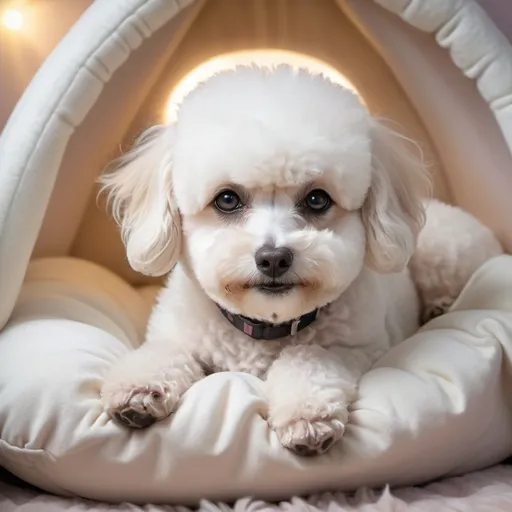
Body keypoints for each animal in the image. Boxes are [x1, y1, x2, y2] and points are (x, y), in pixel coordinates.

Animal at [99, 65, 500, 456]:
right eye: (226, 199)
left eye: (317, 199)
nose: (274, 258)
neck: (264, 327)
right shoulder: (178, 335)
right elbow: (163, 353)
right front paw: (138, 389)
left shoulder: (356, 349)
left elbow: (309, 357)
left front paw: (307, 415)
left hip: (442, 249)